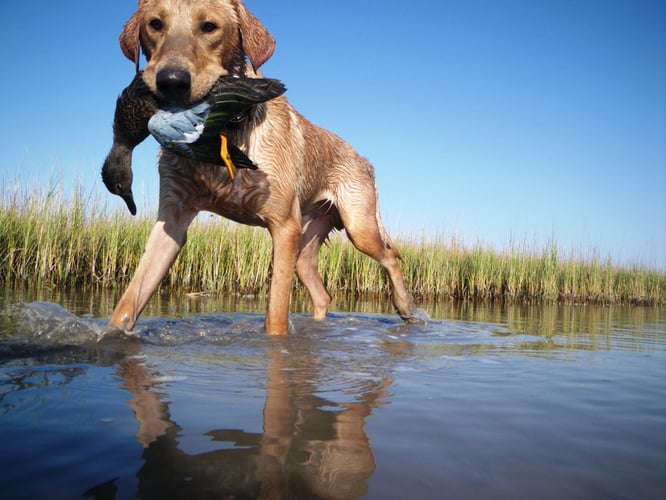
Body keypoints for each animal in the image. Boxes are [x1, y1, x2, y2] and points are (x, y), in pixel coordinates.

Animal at [107, 0, 420, 336]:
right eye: (155, 24)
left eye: (209, 27)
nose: (171, 81)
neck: (228, 131)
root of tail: (364, 158)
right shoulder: (172, 219)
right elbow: (127, 305)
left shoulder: (283, 227)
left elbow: (275, 316)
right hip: (307, 245)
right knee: (323, 295)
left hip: (358, 227)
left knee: (390, 256)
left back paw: (406, 307)